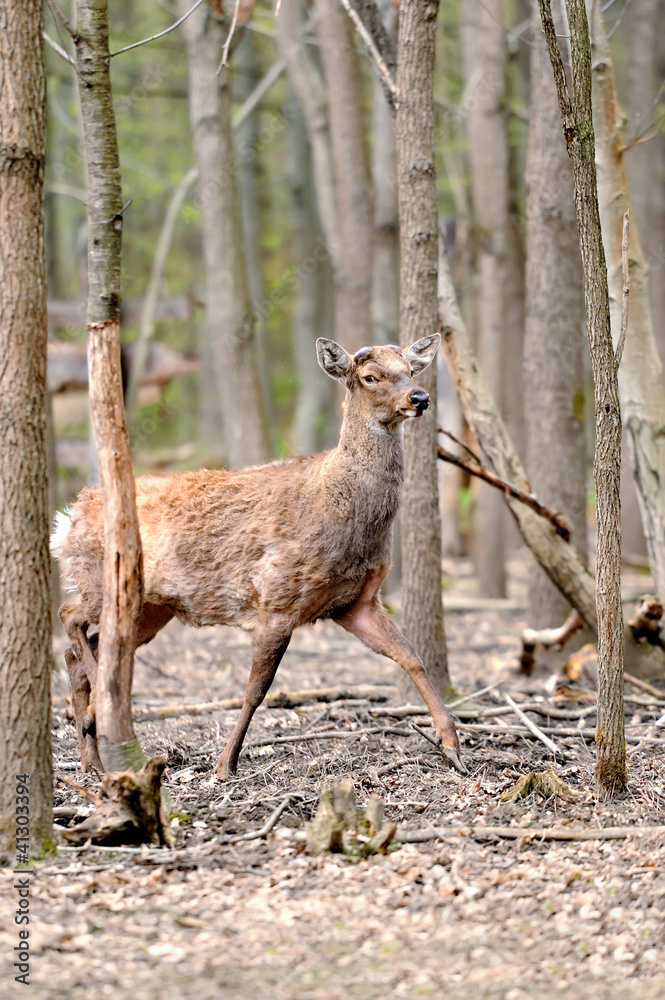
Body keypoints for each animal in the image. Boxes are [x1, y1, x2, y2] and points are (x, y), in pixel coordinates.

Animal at [52, 340, 464, 776]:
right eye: (370, 376)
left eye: (410, 370)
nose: (420, 398)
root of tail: (68, 516)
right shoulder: (278, 597)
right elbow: (257, 689)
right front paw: (226, 762)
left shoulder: (357, 602)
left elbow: (412, 657)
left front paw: (451, 745)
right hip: (104, 582)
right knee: (69, 615)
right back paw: (95, 719)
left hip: (154, 608)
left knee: (83, 652)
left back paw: (92, 757)